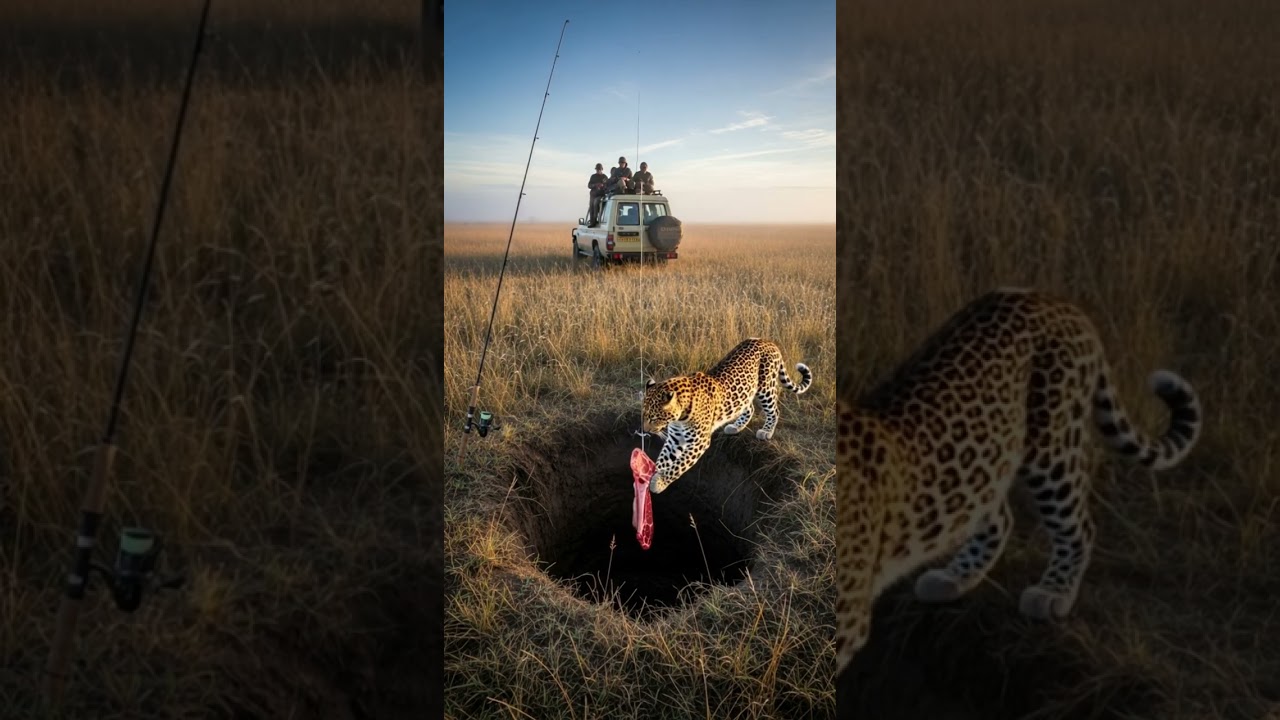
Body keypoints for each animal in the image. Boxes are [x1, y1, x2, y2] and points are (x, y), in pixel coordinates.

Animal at [642, 338, 813, 494]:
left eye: (654, 418)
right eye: (643, 414)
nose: (645, 430)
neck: (680, 417)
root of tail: (767, 341)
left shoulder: (699, 441)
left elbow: (679, 465)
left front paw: (659, 483)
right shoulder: (675, 438)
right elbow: (664, 458)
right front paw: (653, 473)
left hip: (765, 387)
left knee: (774, 410)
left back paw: (766, 431)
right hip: (746, 391)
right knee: (749, 407)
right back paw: (736, 427)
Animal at [835, 288, 1202, 678]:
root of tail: (1053, 300)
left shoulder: (849, 616)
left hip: (1053, 447)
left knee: (1079, 525)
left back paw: (1053, 593)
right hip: (992, 454)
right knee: (998, 514)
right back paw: (955, 578)